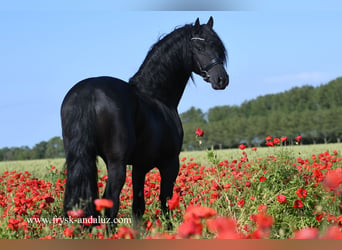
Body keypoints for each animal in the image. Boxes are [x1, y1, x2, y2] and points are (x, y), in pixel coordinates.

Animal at [61, 17, 228, 225]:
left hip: (79, 159)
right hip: (116, 163)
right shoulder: (169, 163)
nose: (222, 79)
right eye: (199, 47)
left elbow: (138, 207)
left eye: (218, 47)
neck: (157, 96)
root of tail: (88, 92)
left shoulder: (139, 166)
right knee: (110, 203)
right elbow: (165, 201)